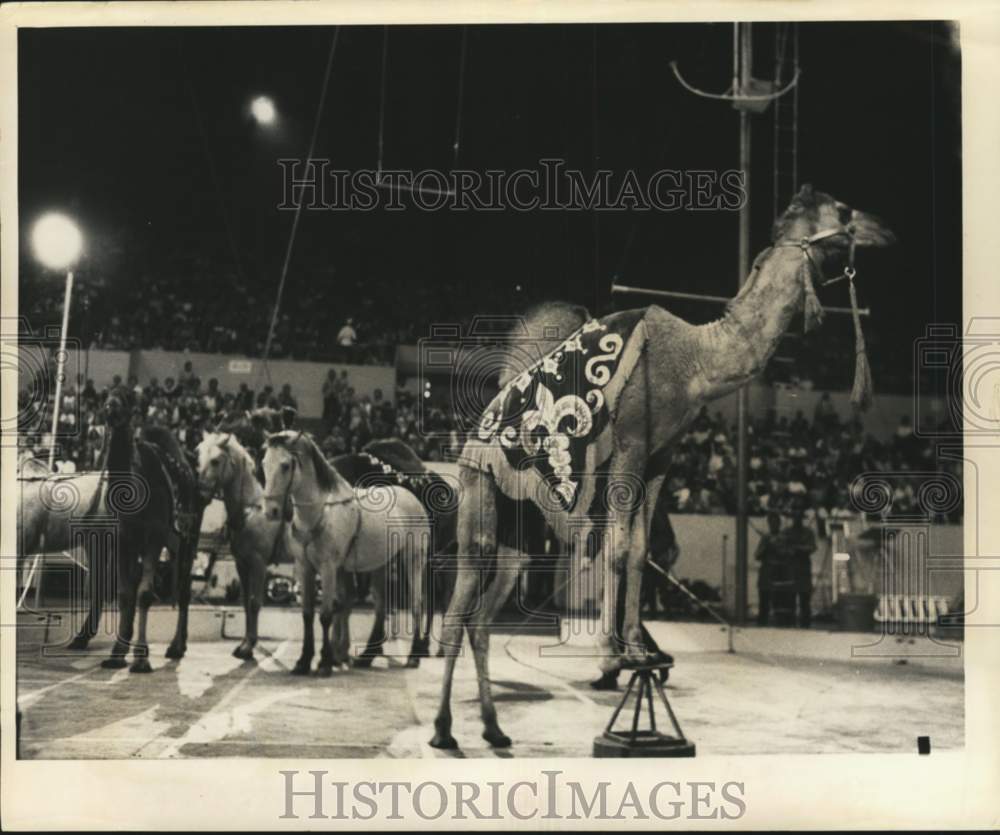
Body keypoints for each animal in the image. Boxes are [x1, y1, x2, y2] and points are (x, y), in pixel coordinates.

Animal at [67, 386, 204, 672]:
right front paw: (118, 653)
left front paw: (141, 658)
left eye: (128, 397)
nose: (110, 406)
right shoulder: (122, 538)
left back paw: (176, 647)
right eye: (107, 395)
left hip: (186, 539)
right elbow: (123, 593)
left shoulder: (153, 537)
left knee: (183, 587)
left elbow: (144, 594)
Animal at [260, 434, 432, 676]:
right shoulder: (305, 566)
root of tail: (411, 497)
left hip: (413, 559)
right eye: (264, 464)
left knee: (418, 603)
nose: (271, 511)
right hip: (381, 564)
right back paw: (367, 656)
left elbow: (326, 614)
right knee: (381, 606)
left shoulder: (329, 567)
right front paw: (303, 661)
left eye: (285, 466)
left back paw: (414, 656)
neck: (320, 511)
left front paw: (324, 663)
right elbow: (307, 614)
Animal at [430, 186, 892, 748]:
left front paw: (636, 650)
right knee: (457, 611)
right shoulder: (630, 443)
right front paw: (616, 656)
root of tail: (474, 436)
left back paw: (494, 730)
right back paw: (444, 730)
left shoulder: (660, 457)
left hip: (521, 528)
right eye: (844, 212)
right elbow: (618, 549)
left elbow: (639, 550)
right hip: (480, 493)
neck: (696, 359)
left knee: (481, 619)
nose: (885, 229)